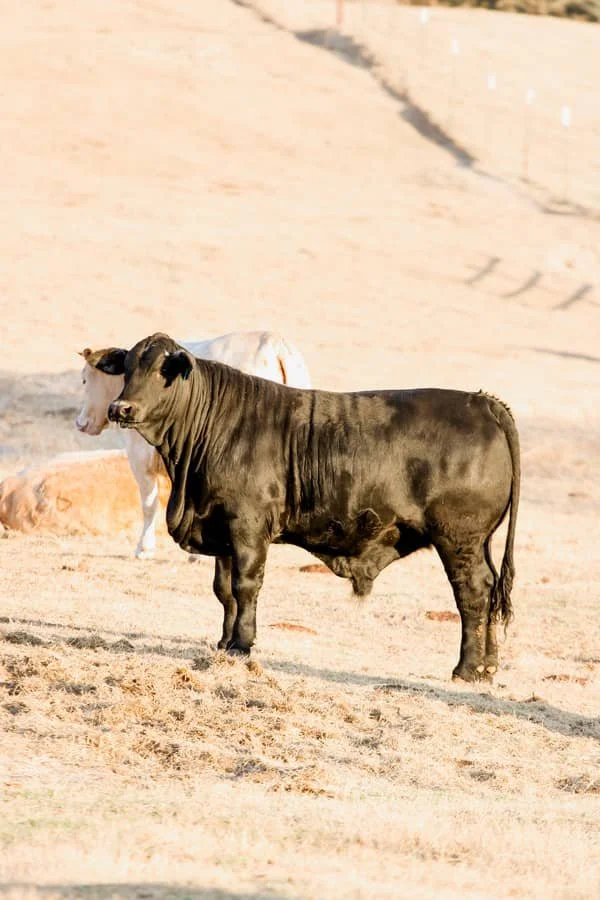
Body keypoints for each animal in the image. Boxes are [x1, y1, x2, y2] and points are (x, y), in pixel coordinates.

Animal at [75, 331, 311, 559]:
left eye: (84, 381)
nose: (80, 422)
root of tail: (276, 345)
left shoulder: (140, 458)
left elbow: (149, 504)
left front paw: (144, 548)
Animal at [106, 333, 520, 682]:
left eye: (162, 370)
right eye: (127, 368)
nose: (120, 408)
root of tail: (483, 402)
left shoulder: (248, 527)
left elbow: (245, 585)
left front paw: (241, 645)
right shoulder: (221, 527)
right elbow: (224, 590)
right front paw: (224, 642)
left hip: (459, 540)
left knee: (473, 592)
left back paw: (467, 668)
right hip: (479, 542)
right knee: (489, 589)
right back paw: (488, 666)